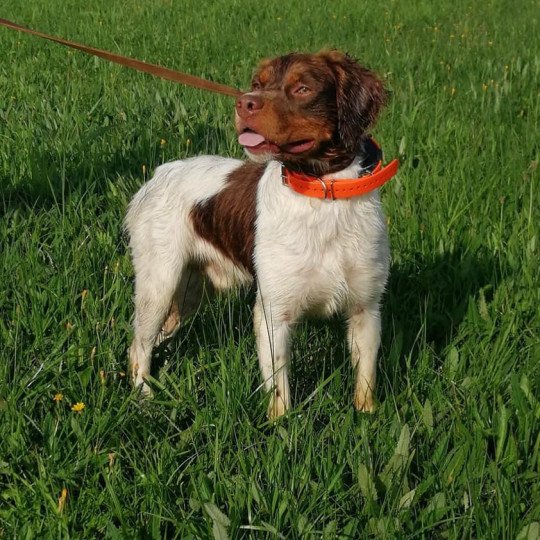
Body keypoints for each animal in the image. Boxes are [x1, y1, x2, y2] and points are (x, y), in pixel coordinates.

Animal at [125, 50, 396, 420]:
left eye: (302, 88)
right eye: (257, 83)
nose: (244, 103)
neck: (323, 196)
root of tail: (159, 174)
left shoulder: (366, 308)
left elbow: (365, 379)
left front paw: (366, 417)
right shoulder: (273, 312)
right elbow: (280, 389)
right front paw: (282, 425)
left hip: (190, 290)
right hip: (159, 283)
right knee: (138, 346)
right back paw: (145, 397)